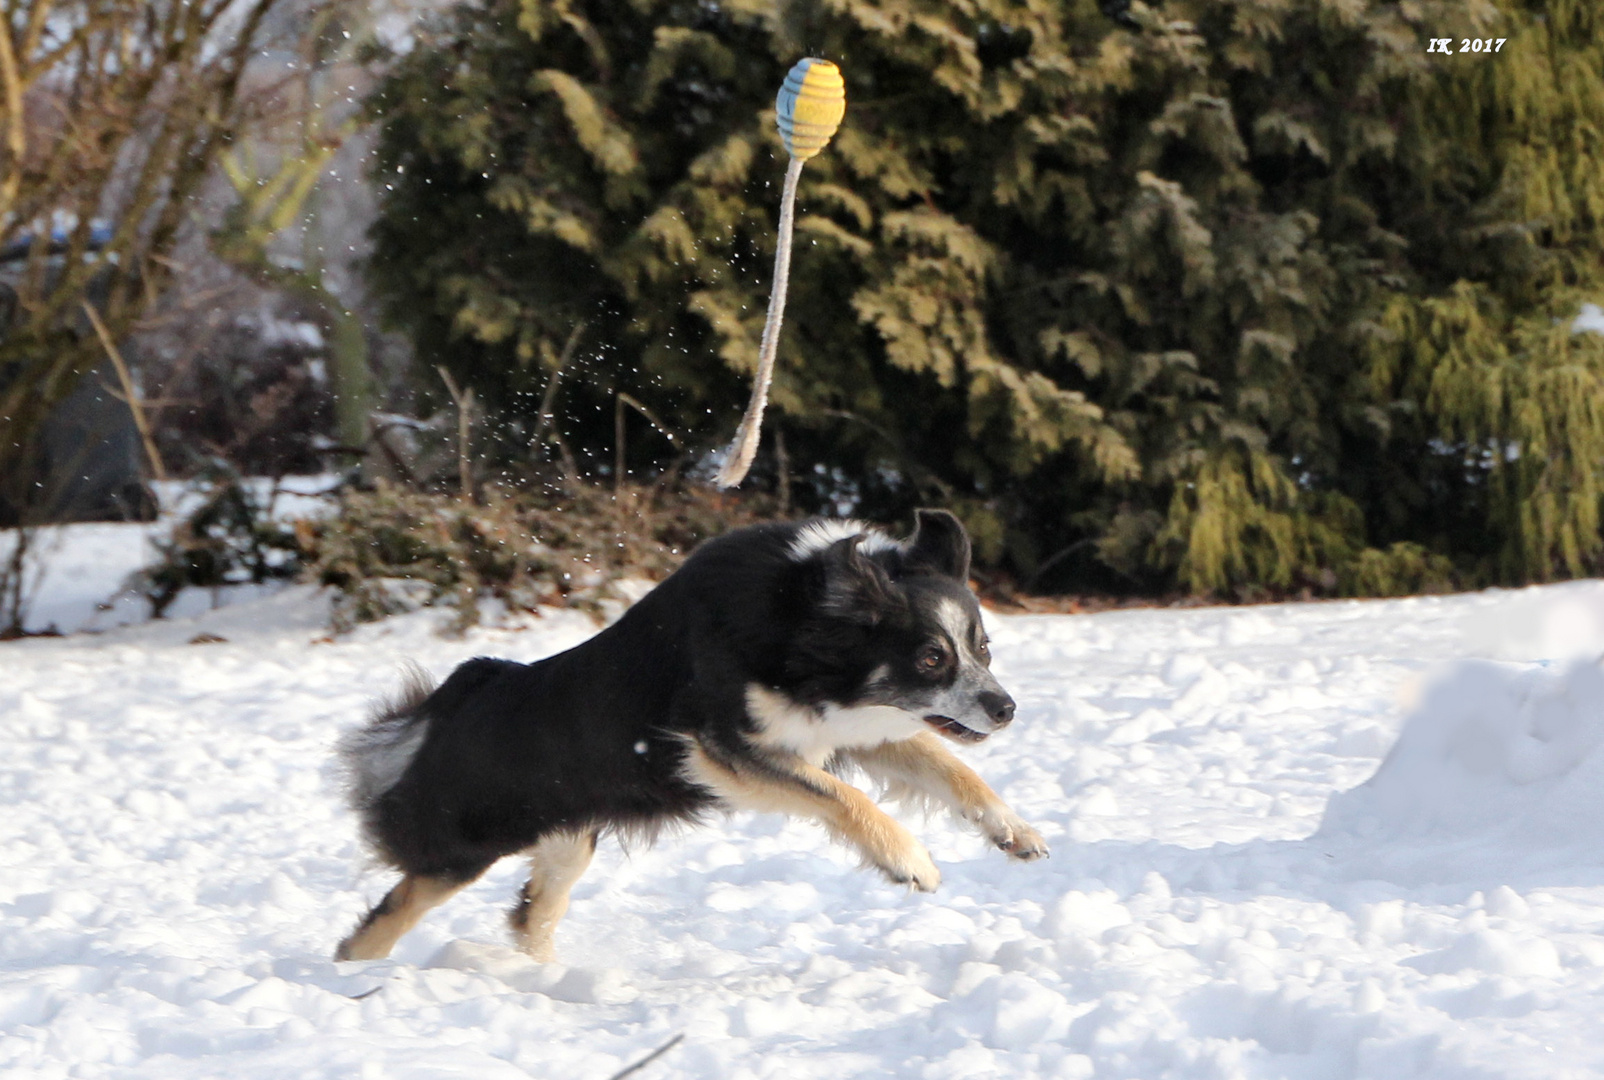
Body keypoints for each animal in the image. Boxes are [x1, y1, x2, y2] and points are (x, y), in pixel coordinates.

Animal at [332, 510, 1045, 962]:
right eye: (930, 657)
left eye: (983, 647)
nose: (1006, 708)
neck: (799, 621)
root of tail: (445, 710)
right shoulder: (720, 747)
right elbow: (843, 797)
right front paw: (910, 862)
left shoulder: (851, 726)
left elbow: (950, 768)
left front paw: (1014, 832)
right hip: (459, 851)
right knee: (389, 915)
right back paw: (347, 978)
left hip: (569, 839)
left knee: (531, 910)